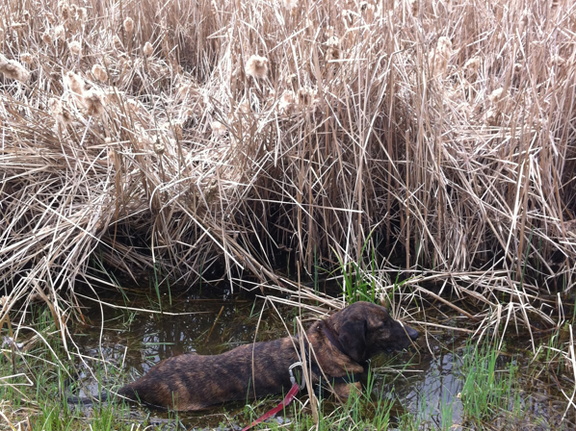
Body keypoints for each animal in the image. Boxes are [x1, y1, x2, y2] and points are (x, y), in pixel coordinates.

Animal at [116, 302, 418, 410]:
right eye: (383, 324)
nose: (415, 334)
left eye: (389, 316)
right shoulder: (350, 393)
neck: (334, 343)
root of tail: (141, 383)